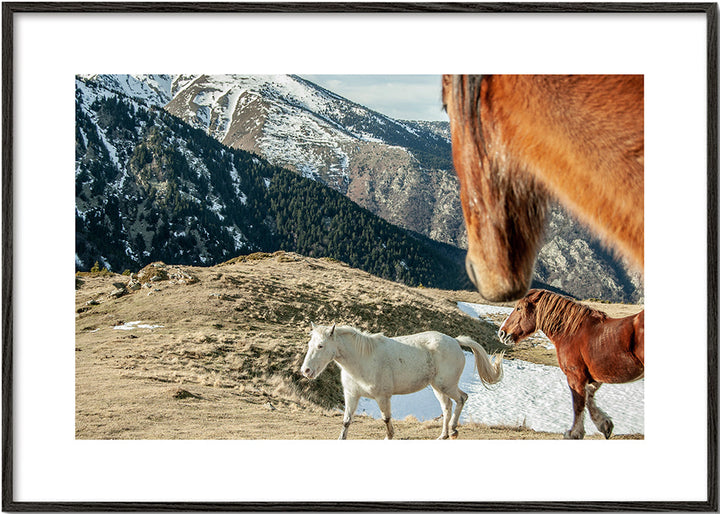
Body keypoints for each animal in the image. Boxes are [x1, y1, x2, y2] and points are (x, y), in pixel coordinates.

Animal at [301, 323, 504, 440]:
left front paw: (389, 437)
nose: (306, 371)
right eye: (310, 344)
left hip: (446, 385)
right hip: (438, 387)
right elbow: (346, 421)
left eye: (321, 346)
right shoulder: (352, 395)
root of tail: (455, 341)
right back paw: (443, 435)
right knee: (447, 407)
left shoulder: (383, 397)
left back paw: (453, 430)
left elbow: (386, 418)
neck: (363, 358)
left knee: (461, 399)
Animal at [497, 289, 644, 439]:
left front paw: (574, 433)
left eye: (519, 308)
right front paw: (605, 425)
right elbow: (588, 398)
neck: (571, 333)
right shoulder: (595, 377)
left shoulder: (575, 376)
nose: (502, 333)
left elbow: (578, 404)